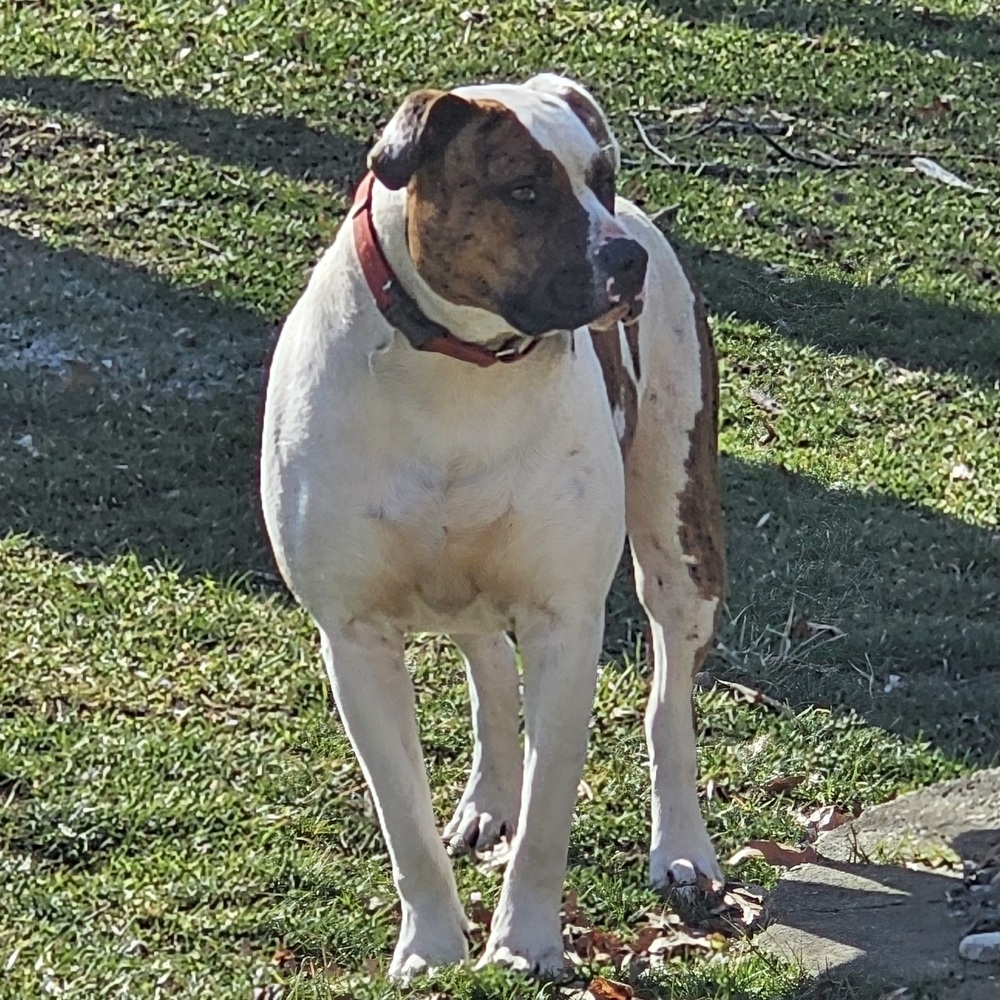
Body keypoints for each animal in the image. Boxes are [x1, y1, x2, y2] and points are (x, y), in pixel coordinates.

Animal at [262, 74, 724, 980]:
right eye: (523, 190)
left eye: (602, 178)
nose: (626, 257)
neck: (457, 371)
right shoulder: (356, 638)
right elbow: (403, 816)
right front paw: (432, 947)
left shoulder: (565, 624)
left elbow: (551, 813)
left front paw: (525, 943)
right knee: (486, 664)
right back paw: (487, 799)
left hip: (680, 549)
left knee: (668, 701)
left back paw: (682, 844)